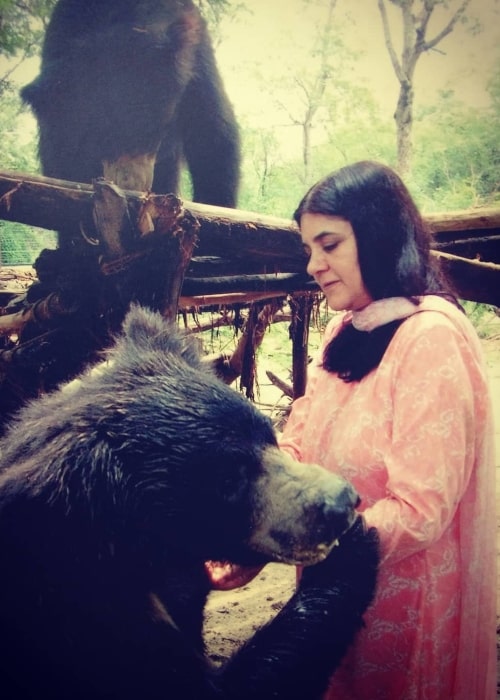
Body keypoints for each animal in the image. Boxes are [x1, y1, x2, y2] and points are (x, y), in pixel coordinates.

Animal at [22, 0, 241, 209]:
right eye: (99, 139)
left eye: (154, 134)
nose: (129, 187)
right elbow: (63, 152)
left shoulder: (197, 55)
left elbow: (212, 133)